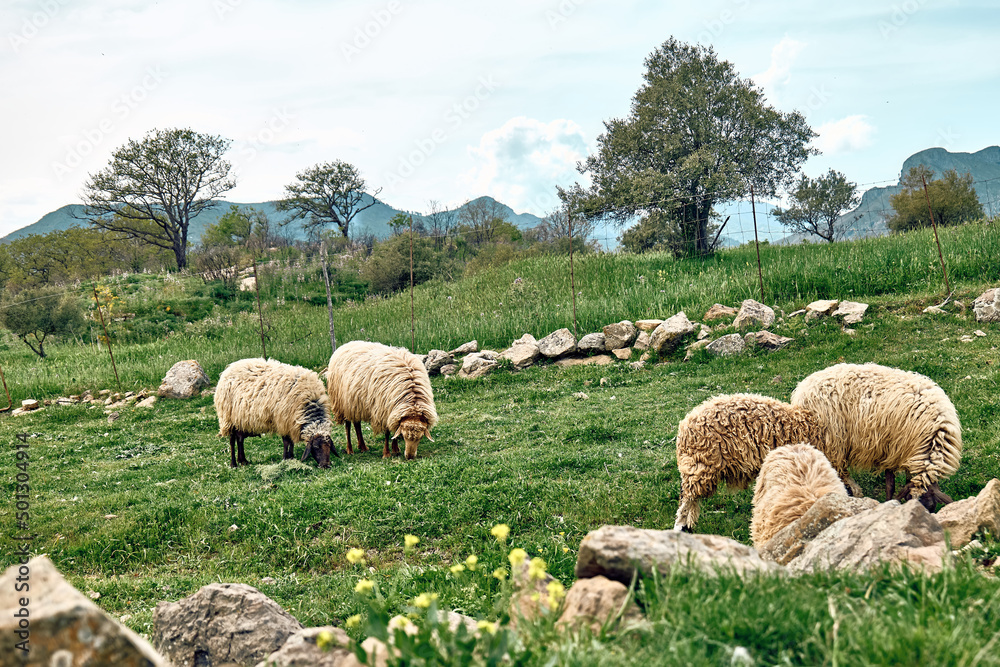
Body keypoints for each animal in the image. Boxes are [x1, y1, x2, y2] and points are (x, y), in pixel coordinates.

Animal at [788, 360, 960, 512]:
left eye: (931, 506)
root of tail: (803, 386)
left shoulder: (901, 451)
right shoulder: (893, 447)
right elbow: (890, 483)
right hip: (832, 442)